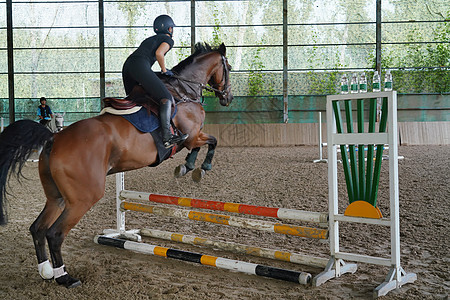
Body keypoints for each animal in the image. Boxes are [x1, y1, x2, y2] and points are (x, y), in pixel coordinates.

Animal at [0, 42, 232, 288]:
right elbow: (211, 142)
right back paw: (65, 277)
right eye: (228, 67)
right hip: (83, 198)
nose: (227, 97)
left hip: (57, 197)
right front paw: (199, 168)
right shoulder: (191, 136)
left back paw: (45, 271)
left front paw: (187, 166)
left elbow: (202, 145)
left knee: (38, 228)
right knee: (54, 234)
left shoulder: (193, 138)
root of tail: (54, 138)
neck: (183, 93)